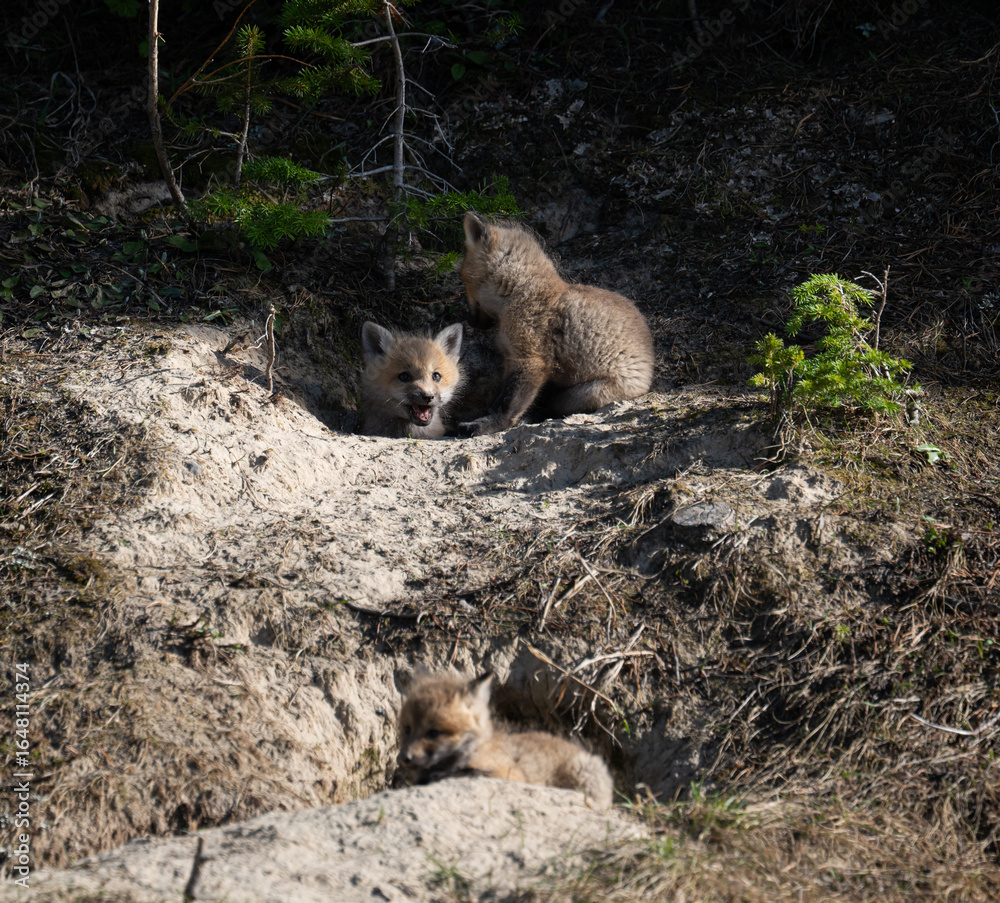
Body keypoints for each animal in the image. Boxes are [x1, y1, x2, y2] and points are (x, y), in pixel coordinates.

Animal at [396, 671, 613, 809]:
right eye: (407, 729)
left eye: (434, 733)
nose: (403, 758)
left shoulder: (511, 775)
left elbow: (469, 772)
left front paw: (440, 775)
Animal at [458, 212, 655, 436]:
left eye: (463, 280)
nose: (469, 321)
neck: (520, 293)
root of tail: (650, 369)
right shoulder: (511, 360)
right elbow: (499, 398)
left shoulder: (530, 360)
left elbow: (507, 405)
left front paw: (489, 425)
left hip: (585, 393)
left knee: (554, 406)